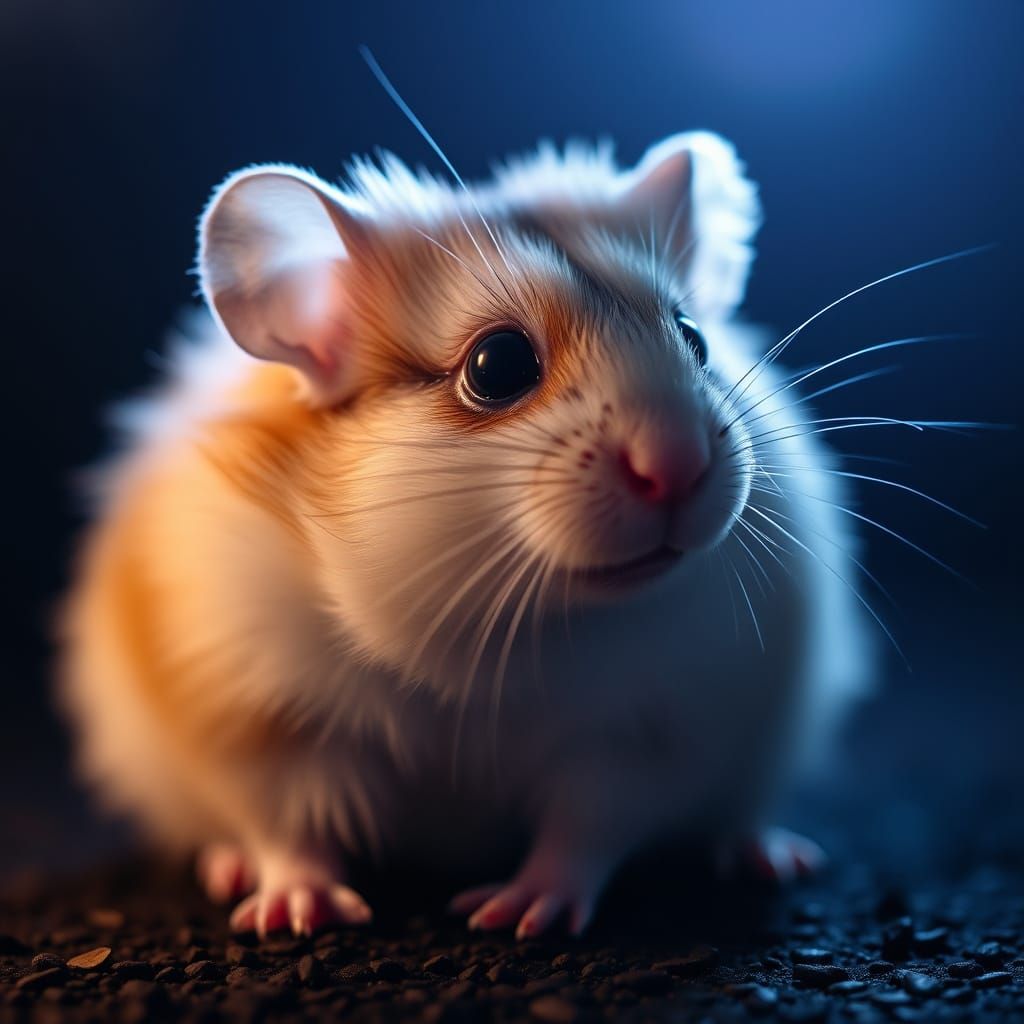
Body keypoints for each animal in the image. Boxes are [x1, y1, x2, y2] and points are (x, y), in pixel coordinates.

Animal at [60, 130, 872, 939]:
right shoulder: (251, 716)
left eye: (695, 339)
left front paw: (514, 915)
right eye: (498, 365)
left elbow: (584, 829)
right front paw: (297, 916)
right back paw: (228, 869)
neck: (499, 630)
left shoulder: (644, 738)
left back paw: (773, 857)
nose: (679, 466)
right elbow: (288, 827)